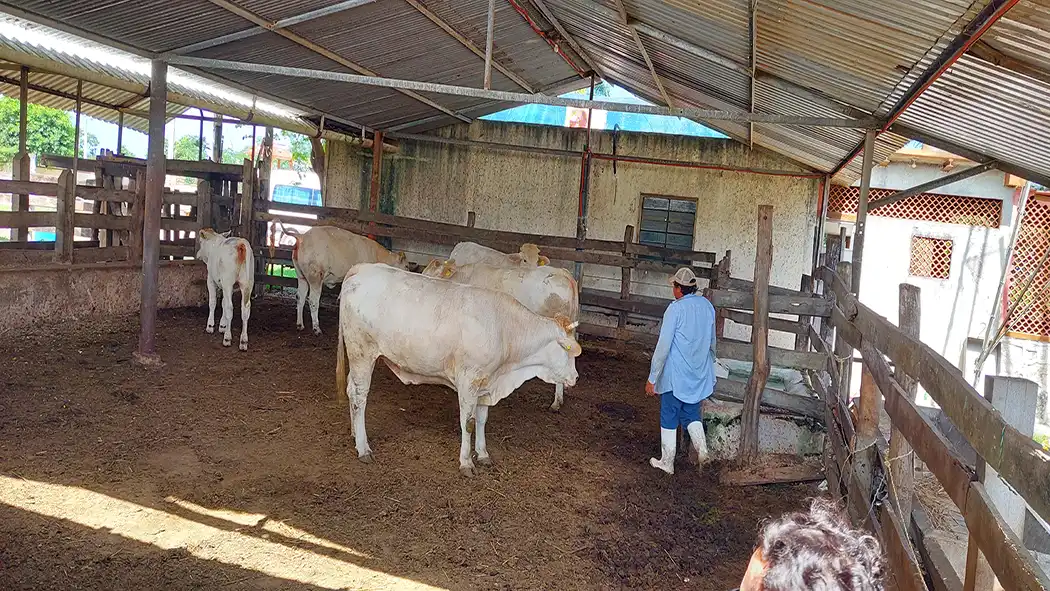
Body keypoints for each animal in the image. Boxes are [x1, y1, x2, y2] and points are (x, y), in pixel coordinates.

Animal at [336, 265, 583, 478]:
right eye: (569, 351)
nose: (576, 377)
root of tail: (363, 268)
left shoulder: (485, 383)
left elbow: (482, 420)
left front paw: (482, 454)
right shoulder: (468, 380)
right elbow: (468, 422)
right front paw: (466, 462)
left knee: (350, 389)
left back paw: (354, 433)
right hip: (362, 353)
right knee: (359, 397)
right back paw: (363, 447)